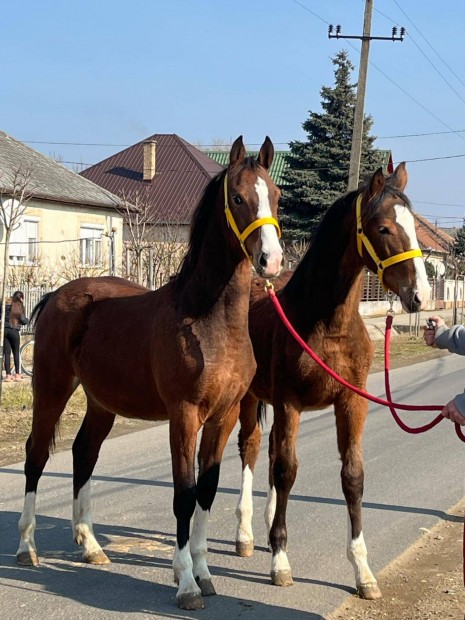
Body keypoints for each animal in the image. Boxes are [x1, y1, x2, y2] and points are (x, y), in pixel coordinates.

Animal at [15, 137, 282, 612]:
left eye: (277, 195)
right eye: (238, 198)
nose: (271, 261)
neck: (207, 321)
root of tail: (57, 295)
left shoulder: (224, 416)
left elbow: (207, 490)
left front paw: (205, 573)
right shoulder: (185, 416)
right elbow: (184, 494)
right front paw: (186, 583)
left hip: (101, 402)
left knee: (84, 453)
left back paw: (90, 545)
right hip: (52, 389)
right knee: (36, 455)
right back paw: (27, 547)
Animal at [234, 165, 430, 600]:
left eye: (413, 225)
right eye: (384, 228)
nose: (421, 296)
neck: (329, 325)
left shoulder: (351, 401)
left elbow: (352, 477)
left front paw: (363, 572)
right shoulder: (289, 402)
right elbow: (288, 471)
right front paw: (281, 561)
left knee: (269, 453)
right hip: (247, 399)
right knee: (252, 449)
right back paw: (245, 534)